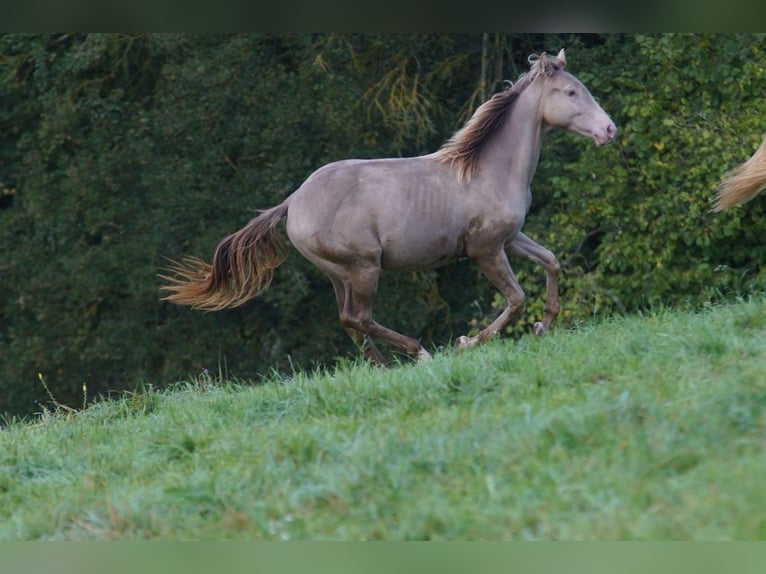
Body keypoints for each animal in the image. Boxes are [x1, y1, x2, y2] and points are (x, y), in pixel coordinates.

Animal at [162, 49, 616, 364]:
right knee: (359, 318)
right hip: (364, 267)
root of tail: (293, 201)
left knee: (349, 321)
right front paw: (466, 342)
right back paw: (419, 353)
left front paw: (543, 326)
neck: (488, 170)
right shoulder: (485, 249)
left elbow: (552, 261)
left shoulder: (511, 238)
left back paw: (383, 367)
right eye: (571, 91)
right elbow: (517, 298)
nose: (610, 130)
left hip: (338, 273)